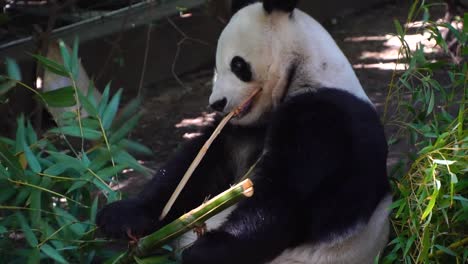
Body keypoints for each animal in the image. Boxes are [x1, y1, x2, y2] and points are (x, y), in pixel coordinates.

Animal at [96, 1, 392, 262]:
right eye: (216, 67)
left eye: (238, 65)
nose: (216, 103)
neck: (305, 69)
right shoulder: (241, 130)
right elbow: (195, 169)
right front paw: (119, 216)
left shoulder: (325, 120)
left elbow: (281, 199)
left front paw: (203, 250)